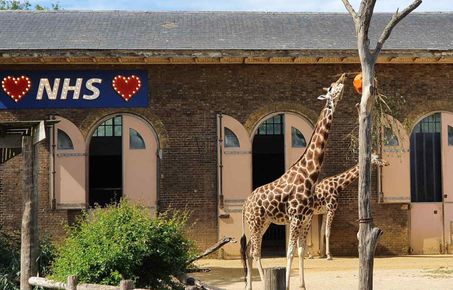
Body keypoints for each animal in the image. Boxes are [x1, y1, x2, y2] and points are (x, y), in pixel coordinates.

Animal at [240, 75, 346, 290]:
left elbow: (300, 251)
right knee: (255, 252)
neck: (309, 175)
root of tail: (245, 204)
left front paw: (302, 284)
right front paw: (288, 284)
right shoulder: (295, 218)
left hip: (262, 223)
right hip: (255, 222)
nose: (344, 77)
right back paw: (262, 283)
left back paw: (249, 286)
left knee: (248, 250)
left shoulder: (306, 218)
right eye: (332, 87)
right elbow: (289, 252)